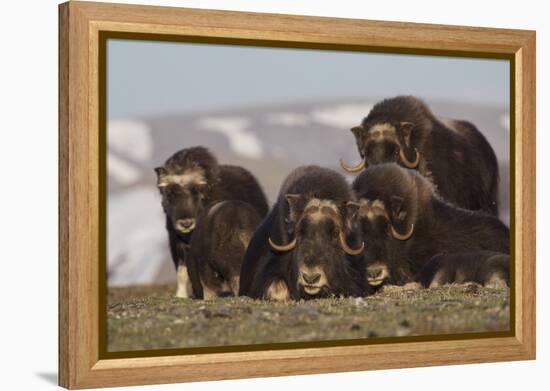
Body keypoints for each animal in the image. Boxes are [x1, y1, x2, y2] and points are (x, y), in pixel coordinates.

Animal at [155, 149, 270, 298]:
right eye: (169, 194)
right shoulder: (175, 241)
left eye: (197, 192)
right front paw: (181, 296)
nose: (186, 223)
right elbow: (181, 271)